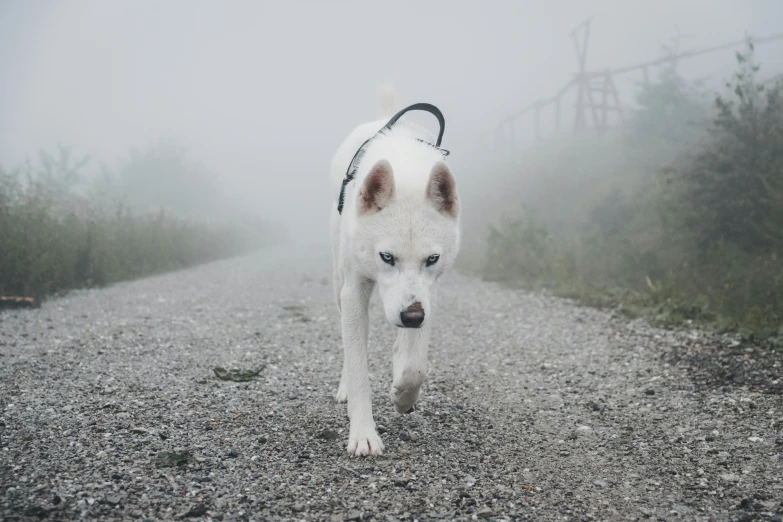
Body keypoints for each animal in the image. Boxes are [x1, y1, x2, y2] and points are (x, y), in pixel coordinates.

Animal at [330, 90, 460, 456]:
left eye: (432, 259)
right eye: (386, 257)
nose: (412, 317)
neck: (406, 169)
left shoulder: (428, 293)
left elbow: (415, 366)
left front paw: (403, 395)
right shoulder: (354, 291)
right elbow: (358, 366)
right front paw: (363, 434)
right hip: (339, 283)